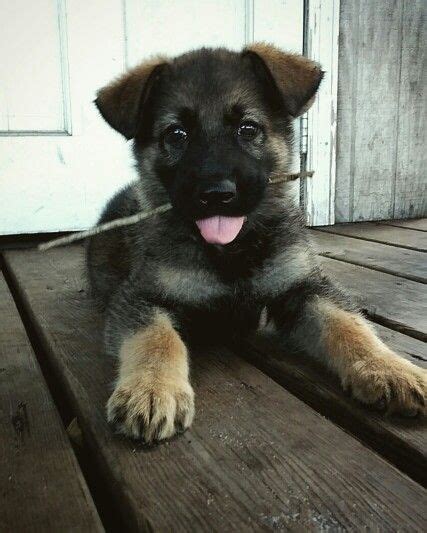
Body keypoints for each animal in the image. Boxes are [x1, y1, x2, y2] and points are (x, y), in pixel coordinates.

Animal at [86, 42, 424, 440]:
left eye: (248, 129)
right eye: (176, 135)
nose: (217, 194)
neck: (231, 253)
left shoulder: (302, 287)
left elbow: (346, 323)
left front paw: (388, 367)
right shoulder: (142, 296)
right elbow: (156, 338)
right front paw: (152, 389)